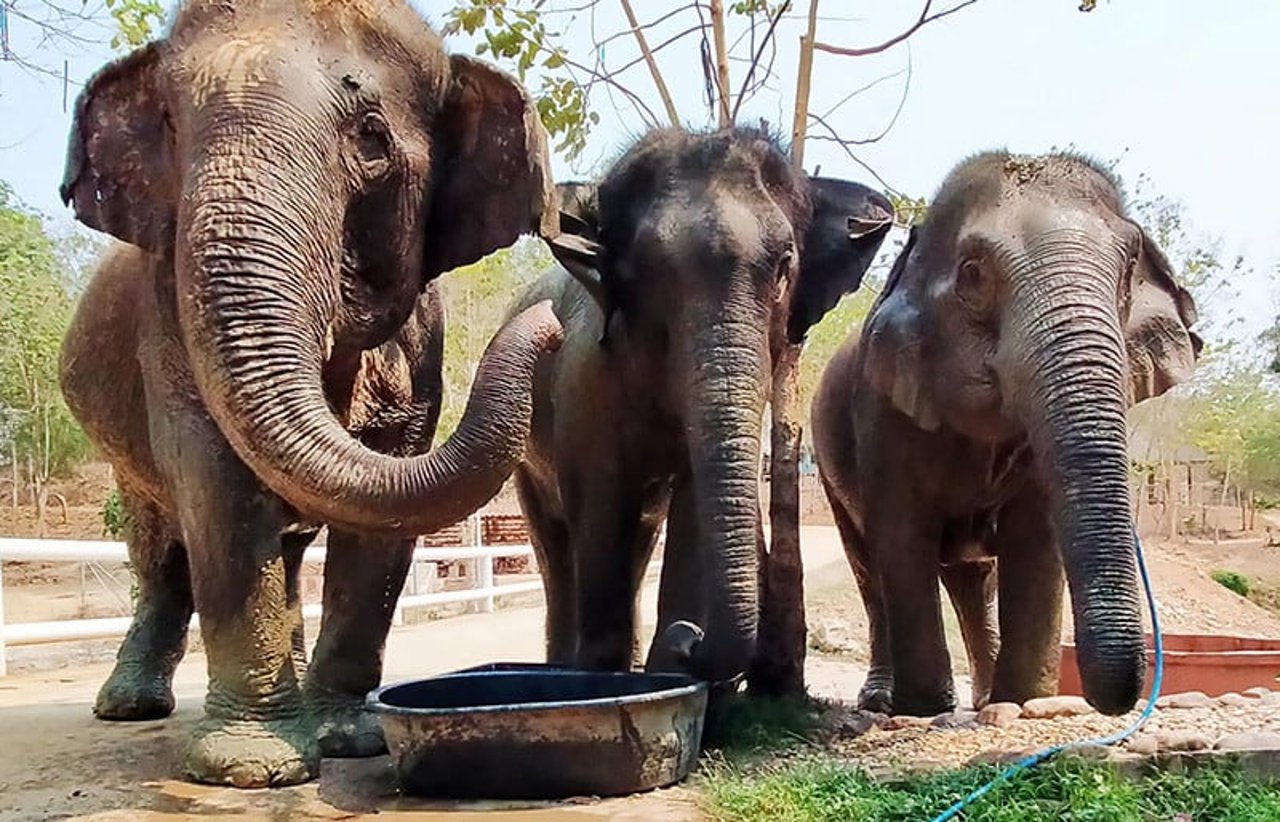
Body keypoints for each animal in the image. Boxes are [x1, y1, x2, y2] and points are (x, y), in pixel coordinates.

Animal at [57, 0, 563, 783]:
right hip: (118, 449)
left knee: (287, 549)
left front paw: (349, 739)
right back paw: (132, 706)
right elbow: (217, 483)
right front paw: (251, 769)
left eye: (372, 140)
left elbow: (391, 489)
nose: (554, 324)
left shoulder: (422, 339)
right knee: (159, 547)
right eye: (170, 127)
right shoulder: (166, 309)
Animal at [506, 126, 890, 686]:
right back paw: (561, 668)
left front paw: (668, 669)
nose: (688, 639)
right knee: (556, 548)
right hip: (525, 459)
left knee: (639, 539)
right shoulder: (584, 382)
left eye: (785, 266)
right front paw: (606, 679)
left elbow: (690, 506)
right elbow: (600, 505)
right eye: (647, 271)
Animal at [808, 153, 1198, 717]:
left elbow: (1035, 540)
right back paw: (884, 701)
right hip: (829, 467)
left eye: (1129, 267)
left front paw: (1024, 700)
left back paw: (985, 698)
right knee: (870, 570)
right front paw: (924, 709)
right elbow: (902, 538)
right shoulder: (880, 410)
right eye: (973, 273)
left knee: (971, 581)